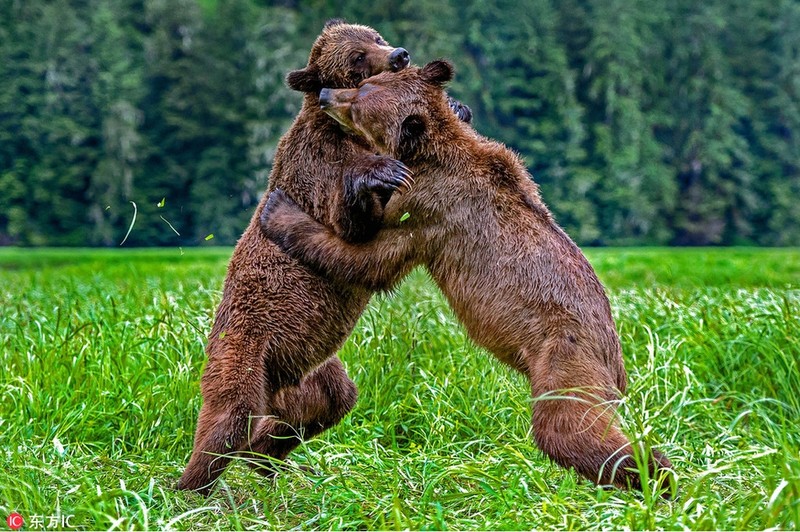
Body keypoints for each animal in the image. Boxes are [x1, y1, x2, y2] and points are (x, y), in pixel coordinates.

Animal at [177, 19, 418, 494]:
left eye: (376, 37)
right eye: (358, 57)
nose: (399, 54)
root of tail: (274, 388)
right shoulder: (318, 164)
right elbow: (351, 222)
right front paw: (384, 172)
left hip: (312, 371)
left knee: (329, 403)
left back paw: (265, 459)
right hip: (245, 351)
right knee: (225, 420)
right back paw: (188, 485)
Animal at [260, 59, 676, 494]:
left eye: (359, 100)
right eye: (366, 82)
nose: (326, 95)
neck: (429, 154)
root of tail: (617, 360)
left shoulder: (427, 210)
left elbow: (370, 260)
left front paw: (279, 209)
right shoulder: (498, 168)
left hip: (566, 355)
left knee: (566, 428)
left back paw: (660, 476)